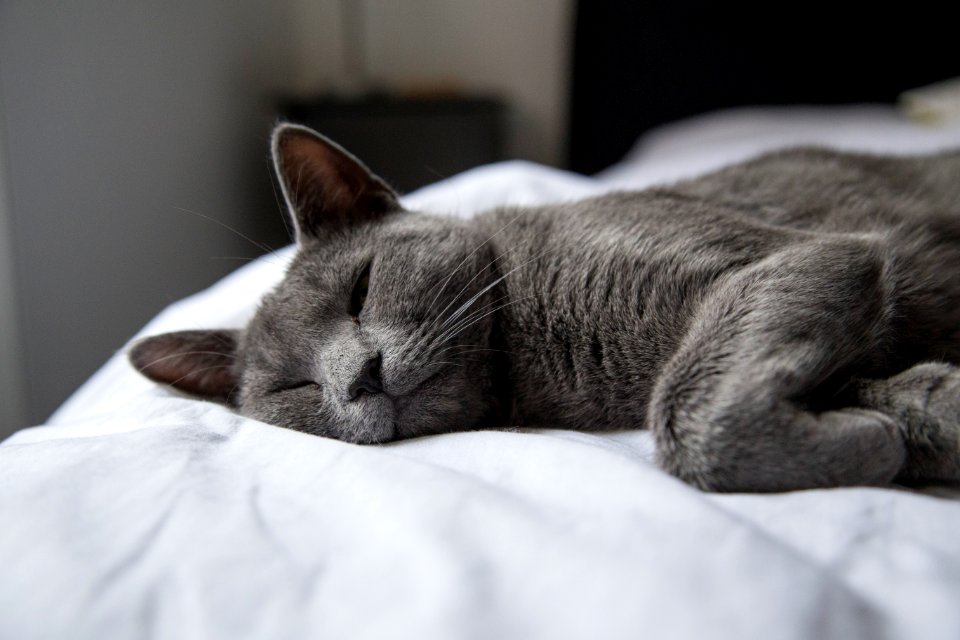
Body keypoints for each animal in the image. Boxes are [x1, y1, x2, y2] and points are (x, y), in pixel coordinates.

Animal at [131, 126, 960, 496]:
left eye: (360, 290)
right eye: (294, 389)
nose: (358, 377)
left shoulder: (797, 259)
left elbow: (687, 409)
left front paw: (876, 444)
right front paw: (887, 434)